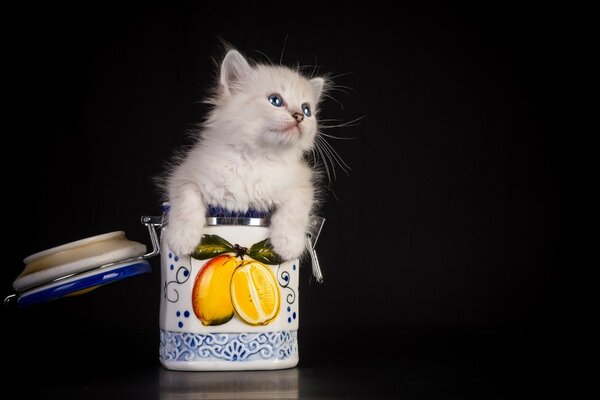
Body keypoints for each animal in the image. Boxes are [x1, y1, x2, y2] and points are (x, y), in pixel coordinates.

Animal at [162, 48, 326, 260]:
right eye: (275, 100)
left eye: (307, 110)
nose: (299, 116)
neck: (256, 157)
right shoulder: (185, 174)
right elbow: (186, 203)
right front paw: (182, 239)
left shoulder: (303, 183)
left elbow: (295, 210)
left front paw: (288, 244)